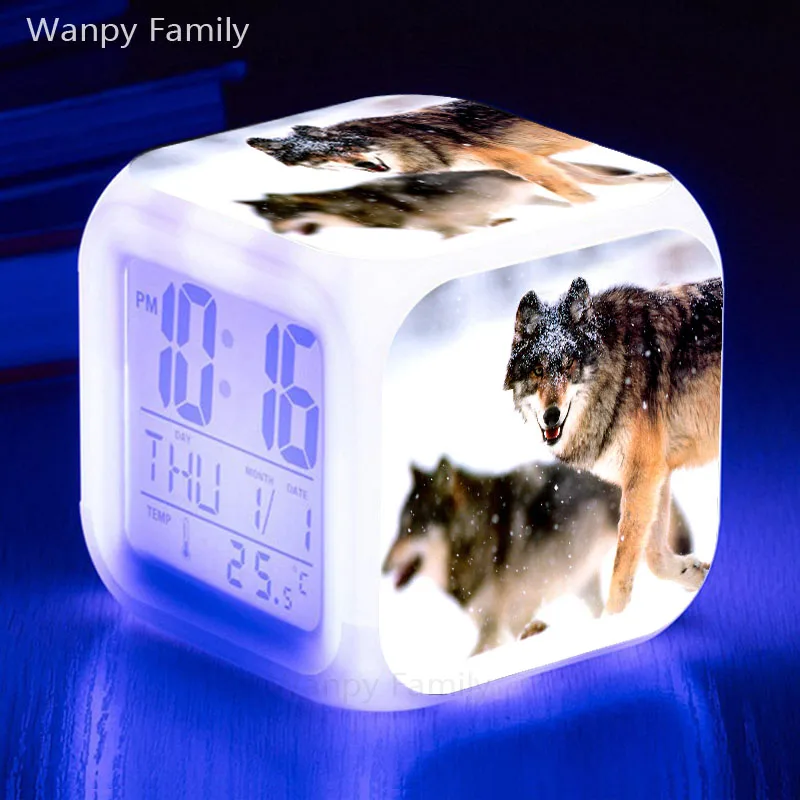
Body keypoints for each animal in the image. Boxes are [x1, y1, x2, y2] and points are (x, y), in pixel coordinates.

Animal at [382, 457, 692, 655]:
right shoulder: (509, 622)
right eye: (398, 528)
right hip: (584, 585)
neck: (476, 534)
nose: (383, 568)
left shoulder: (496, 627)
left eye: (411, 528)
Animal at [503, 276, 722, 614]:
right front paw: (696, 574)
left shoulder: (643, 474)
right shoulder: (656, 473)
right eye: (538, 371)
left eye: (569, 366)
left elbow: (623, 567)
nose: (551, 415)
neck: (619, 375)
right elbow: (653, 556)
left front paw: (612, 622)